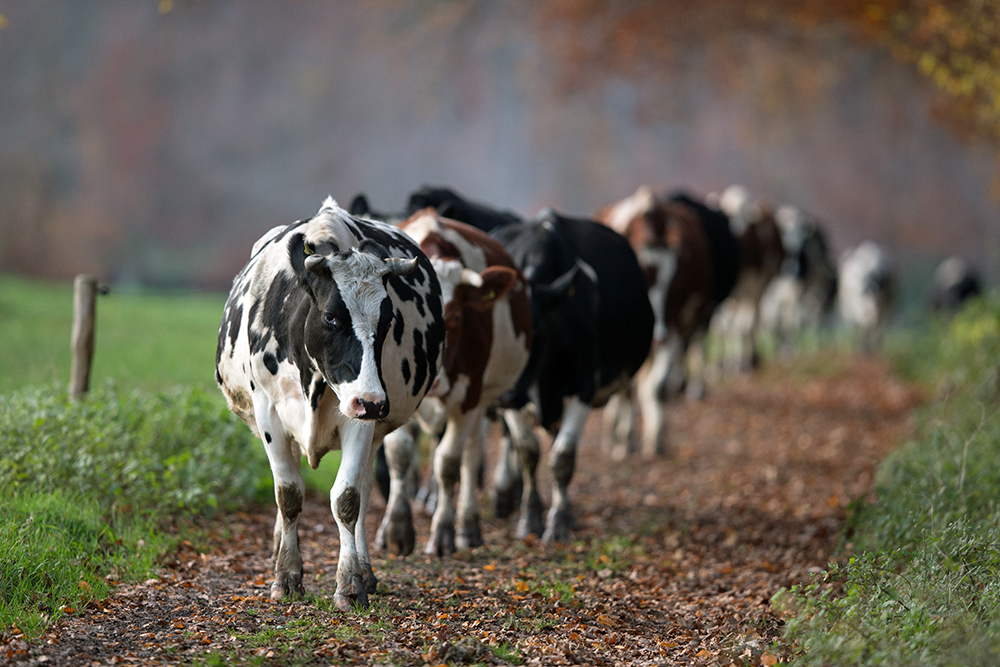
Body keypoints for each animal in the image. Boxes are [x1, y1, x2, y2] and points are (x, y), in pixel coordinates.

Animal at [217, 197, 444, 612]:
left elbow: (348, 499)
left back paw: (365, 572)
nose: (372, 401)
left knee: (365, 489)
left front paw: (350, 583)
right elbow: (288, 494)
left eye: (388, 321)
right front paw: (286, 576)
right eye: (331, 317)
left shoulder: (360, 419)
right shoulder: (269, 414)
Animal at [382, 211, 536, 556]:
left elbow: (448, 464)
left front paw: (443, 533)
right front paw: (397, 528)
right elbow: (399, 454)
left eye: (454, 319)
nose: (432, 381)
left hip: (484, 396)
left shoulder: (469, 398)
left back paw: (468, 524)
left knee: (471, 452)